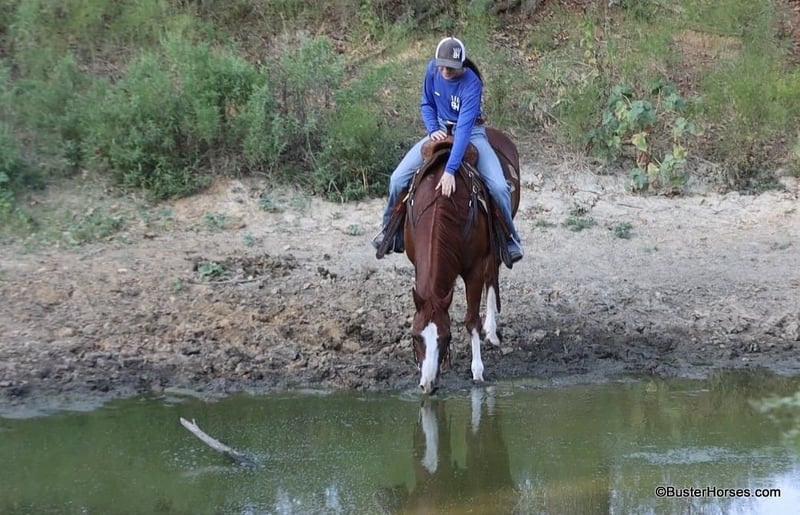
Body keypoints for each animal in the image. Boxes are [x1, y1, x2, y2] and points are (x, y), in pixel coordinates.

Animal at [403, 128, 520, 394]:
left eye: (446, 337)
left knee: (492, 276)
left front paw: (477, 371)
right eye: (415, 336)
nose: (428, 385)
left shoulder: (473, 268)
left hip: (495, 245)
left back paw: (492, 332)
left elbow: (471, 320)